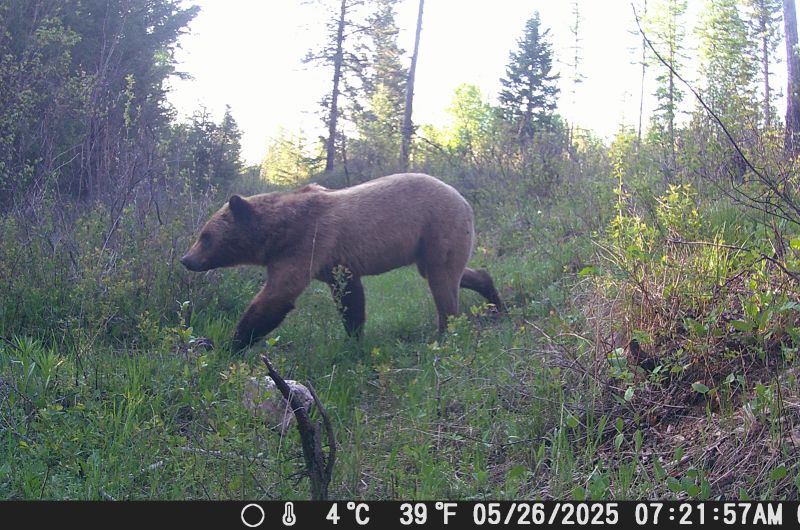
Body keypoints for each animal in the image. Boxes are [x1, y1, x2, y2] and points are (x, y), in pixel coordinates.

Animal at [180, 173, 503, 351]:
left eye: (205, 236)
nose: (186, 259)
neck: (277, 232)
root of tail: (465, 200)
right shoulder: (333, 261)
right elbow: (350, 297)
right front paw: (354, 337)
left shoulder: (306, 244)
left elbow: (275, 299)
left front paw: (227, 344)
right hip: (429, 242)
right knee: (452, 273)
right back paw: (495, 301)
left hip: (438, 226)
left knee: (442, 280)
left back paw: (446, 332)